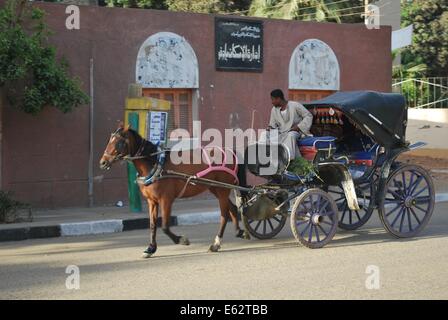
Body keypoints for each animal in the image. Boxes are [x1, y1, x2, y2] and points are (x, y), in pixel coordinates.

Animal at [99, 122, 245, 258]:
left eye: (119, 142)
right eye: (109, 140)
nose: (103, 162)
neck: (155, 163)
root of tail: (230, 152)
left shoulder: (166, 200)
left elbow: (164, 226)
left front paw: (182, 240)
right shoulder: (152, 201)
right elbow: (152, 225)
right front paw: (150, 248)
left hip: (222, 189)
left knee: (224, 215)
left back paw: (216, 243)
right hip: (216, 188)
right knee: (232, 208)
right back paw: (239, 232)